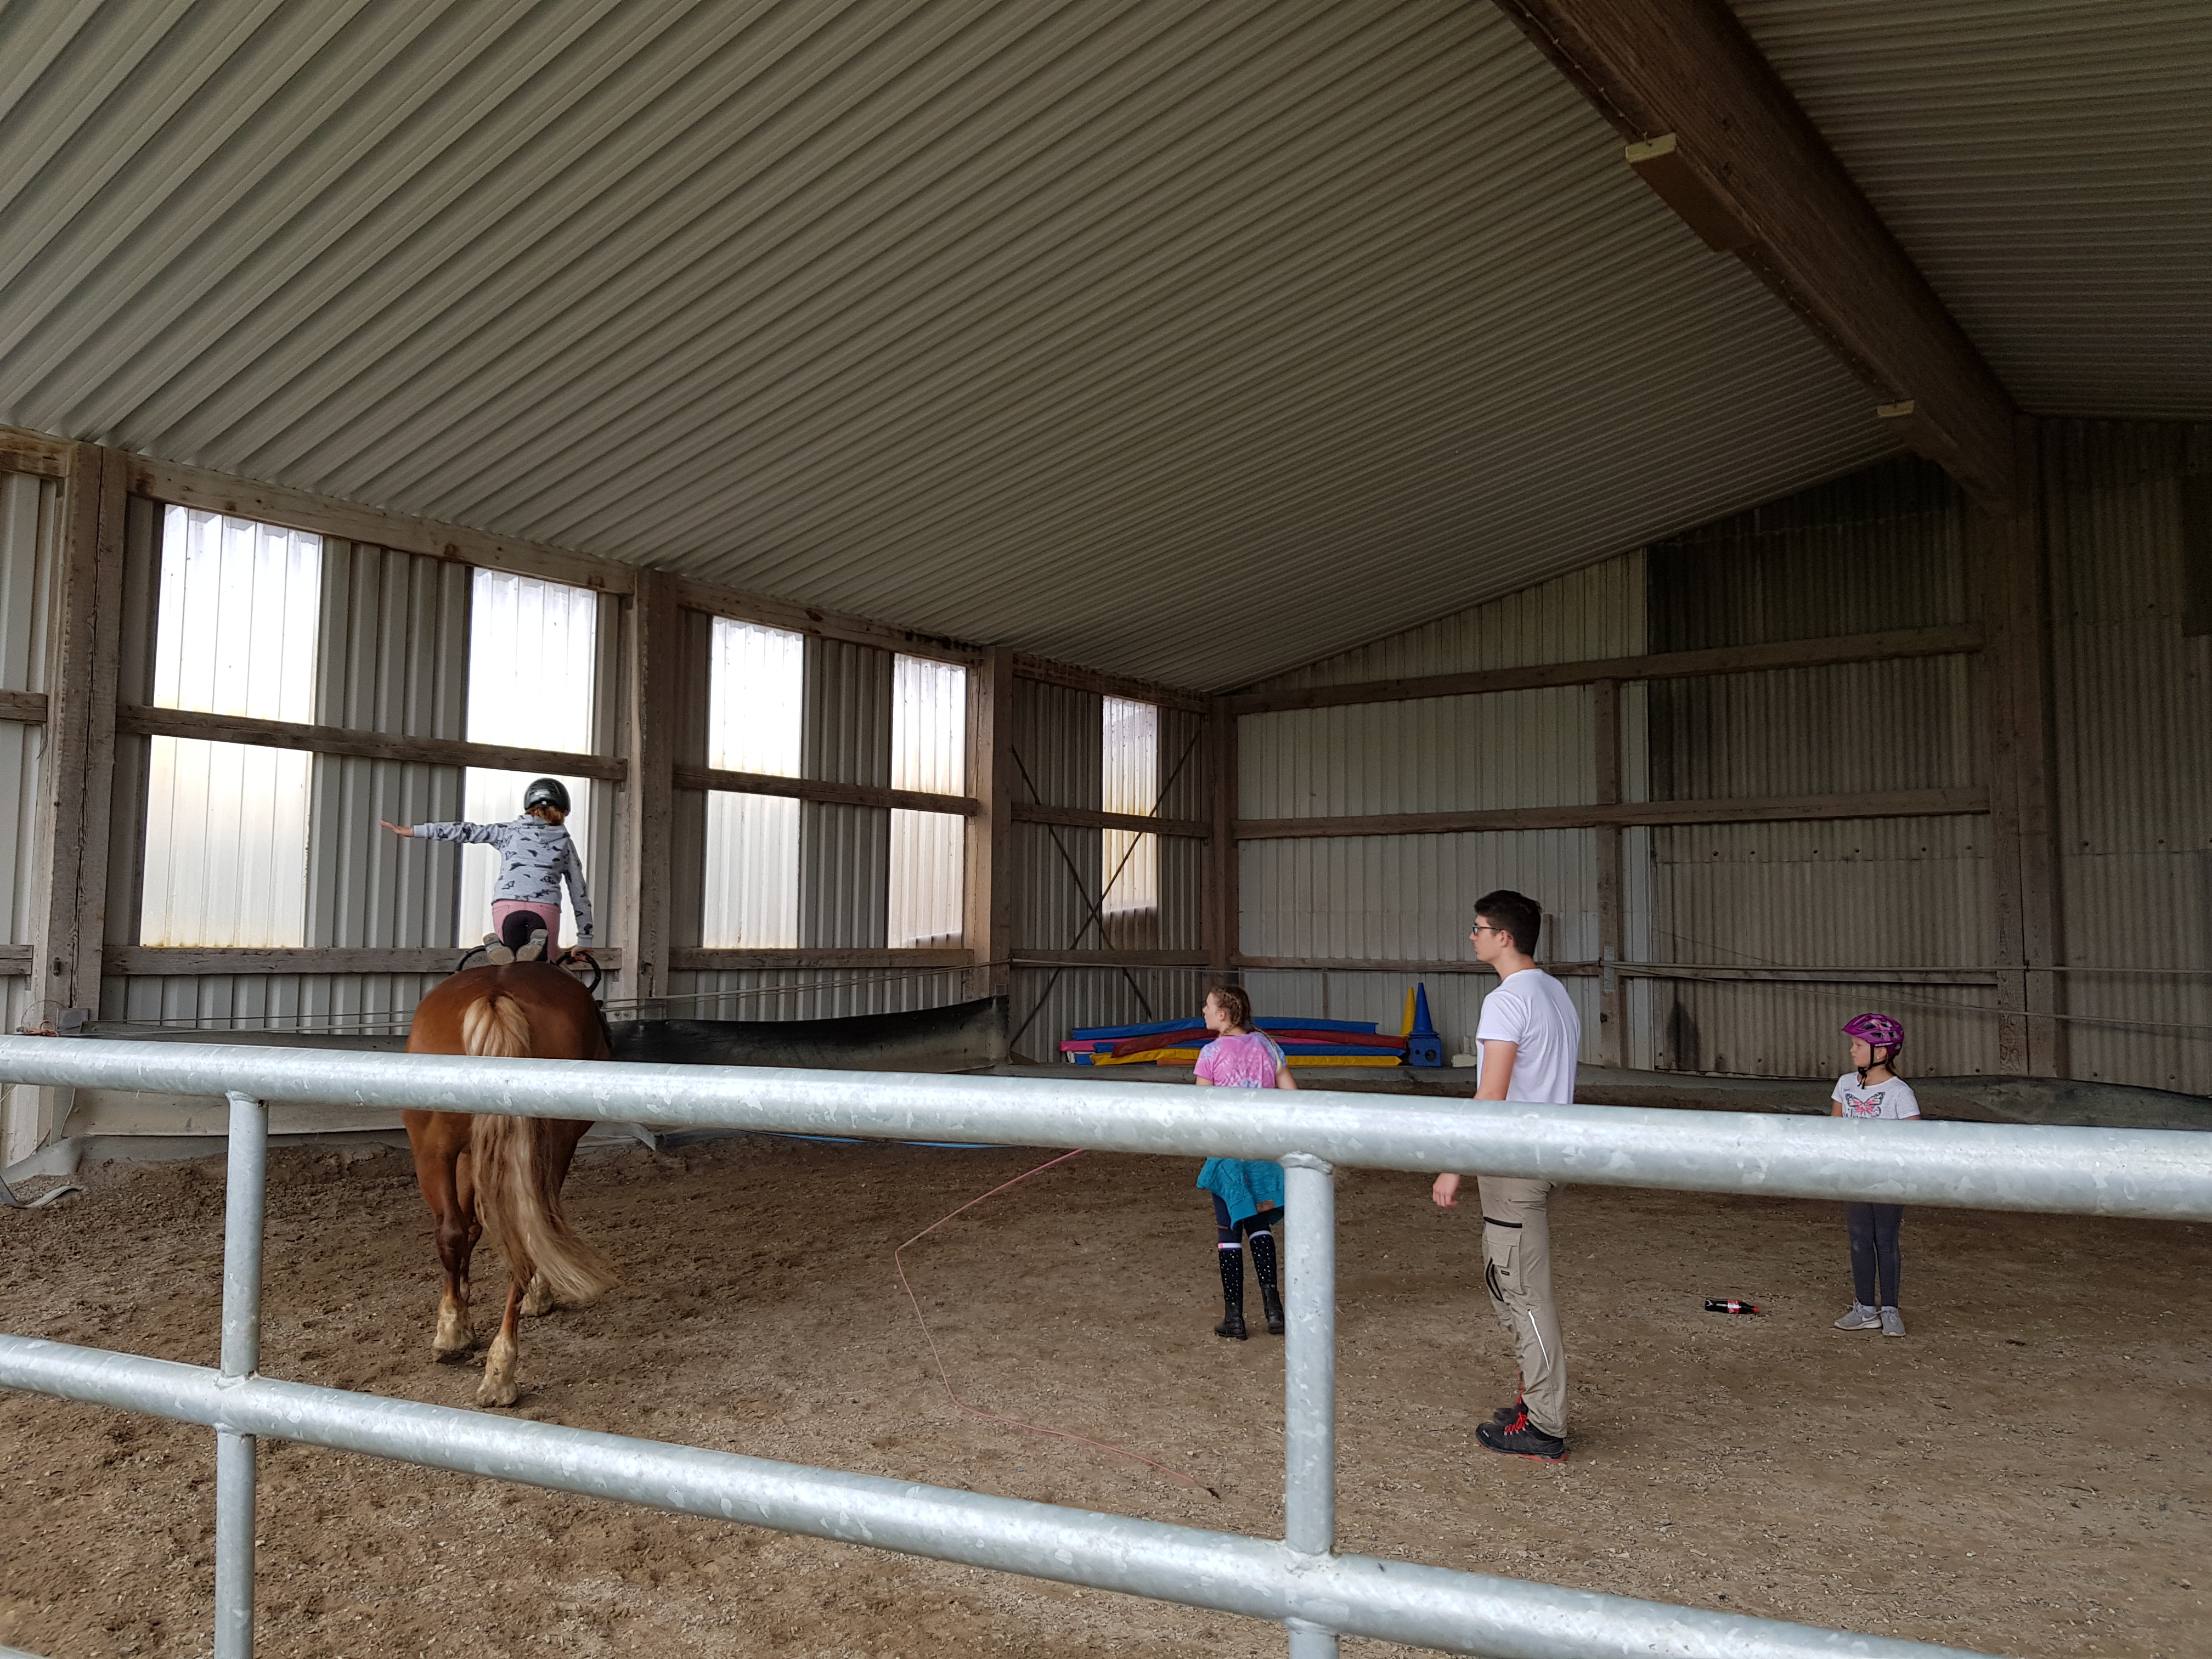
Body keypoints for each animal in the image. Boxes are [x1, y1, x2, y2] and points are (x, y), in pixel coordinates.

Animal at [403, 960, 618, 1407]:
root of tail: (495, 996)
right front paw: (538, 1296)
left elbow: (467, 1228)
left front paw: (463, 1313)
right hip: (544, 1151)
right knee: (522, 1238)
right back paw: (498, 1370)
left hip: (431, 1152)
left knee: (451, 1231)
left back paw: (455, 1338)